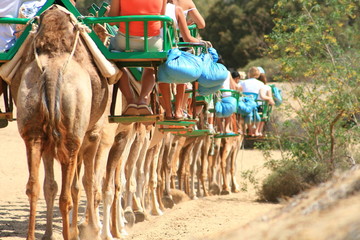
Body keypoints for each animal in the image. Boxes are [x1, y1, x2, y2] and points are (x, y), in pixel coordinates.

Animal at [10, 6, 109, 239]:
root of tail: (52, 71)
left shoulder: (48, 142)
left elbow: (51, 186)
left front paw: (49, 233)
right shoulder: (93, 133)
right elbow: (87, 182)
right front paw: (90, 229)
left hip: (33, 131)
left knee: (34, 186)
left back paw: (32, 235)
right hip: (72, 136)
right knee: (67, 194)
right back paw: (69, 233)